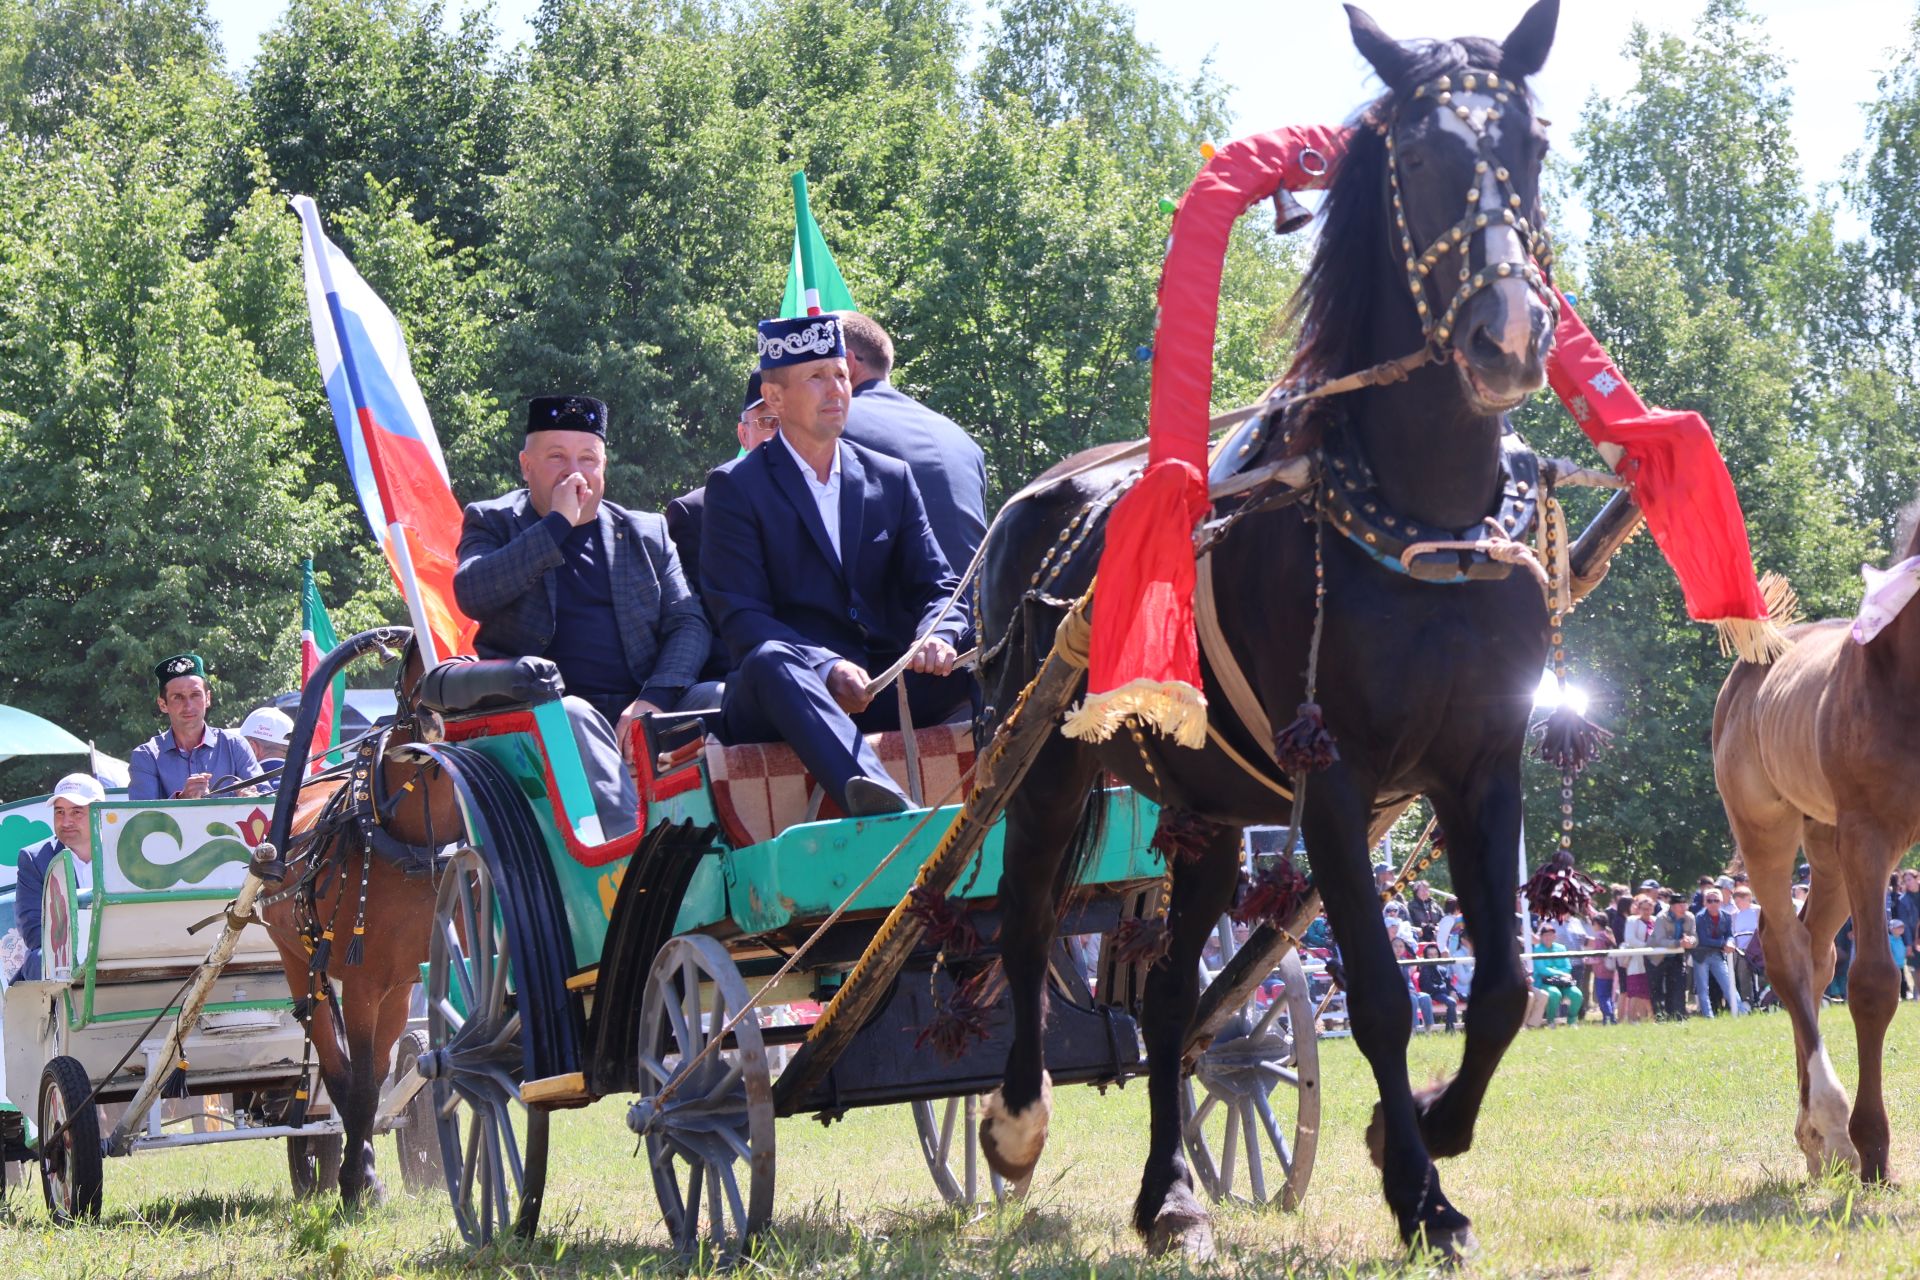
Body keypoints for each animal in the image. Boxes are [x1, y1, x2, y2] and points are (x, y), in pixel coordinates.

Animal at [263, 637, 456, 1205]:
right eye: (414, 659)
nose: (437, 717)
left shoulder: (404, 979)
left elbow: (383, 1073)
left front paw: (365, 1167)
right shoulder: (364, 981)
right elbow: (364, 1085)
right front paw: (358, 1180)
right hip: (299, 962)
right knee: (335, 1065)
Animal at [975, 0, 1559, 1258]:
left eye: (1531, 145)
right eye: (1420, 158)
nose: (1508, 338)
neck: (1423, 522)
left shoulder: (1484, 763)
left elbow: (1505, 984)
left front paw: (1422, 1129)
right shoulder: (1332, 774)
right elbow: (1383, 993)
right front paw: (1423, 1198)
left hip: (1203, 808)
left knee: (1166, 998)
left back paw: (1171, 1196)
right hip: (1044, 768)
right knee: (1025, 922)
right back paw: (1014, 1120)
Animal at [1712, 510, 1920, 1182]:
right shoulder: (1870, 833)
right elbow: (1874, 983)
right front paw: (1875, 1148)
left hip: (1827, 848)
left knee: (1816, 951)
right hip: (1771, 830)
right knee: (1786, 951)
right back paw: (1828, 1128)